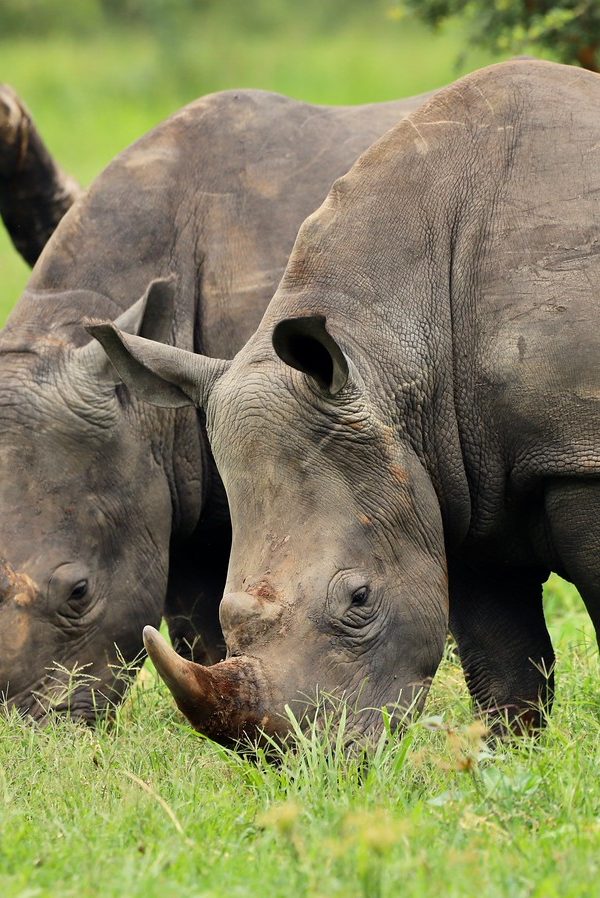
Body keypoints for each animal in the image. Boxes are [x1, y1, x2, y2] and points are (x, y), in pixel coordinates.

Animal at [94, 59, 600, 745]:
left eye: (359, 599)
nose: (301, 757)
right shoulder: (457, 480)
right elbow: (504, 662)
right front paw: (505, 756)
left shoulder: (578, 454)